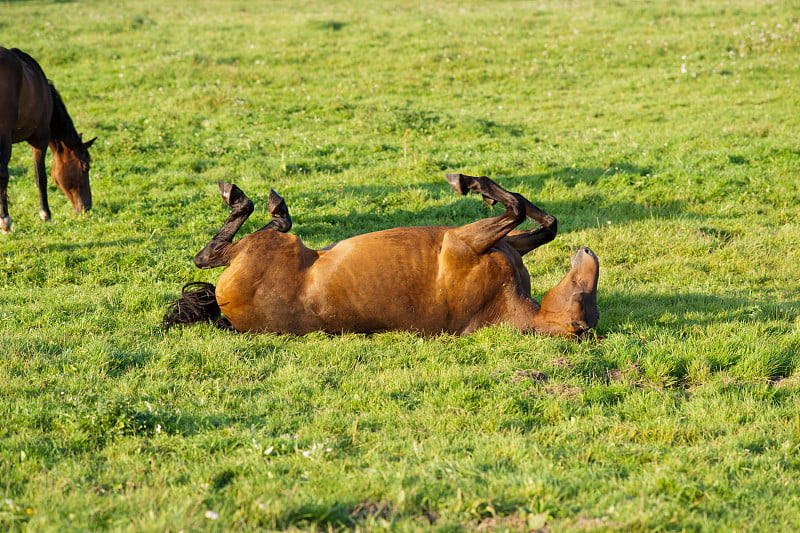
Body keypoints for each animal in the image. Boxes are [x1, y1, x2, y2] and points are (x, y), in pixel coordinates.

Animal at [0, 47, 95, 233]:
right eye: (85, 167)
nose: (87, 207)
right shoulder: (40, 139)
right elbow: (41, 178)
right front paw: (46, 215)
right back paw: (5, 222)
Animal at [164, 176, 600, 336]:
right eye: (583, 291)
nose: (586, 251)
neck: (504, 304)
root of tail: (227, 315)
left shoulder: (466, 241)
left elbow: (517, 208)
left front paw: (466, 182)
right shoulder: (499, 243)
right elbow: (541, 218)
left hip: (263, 248)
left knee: (213, 253)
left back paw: (251, 200)